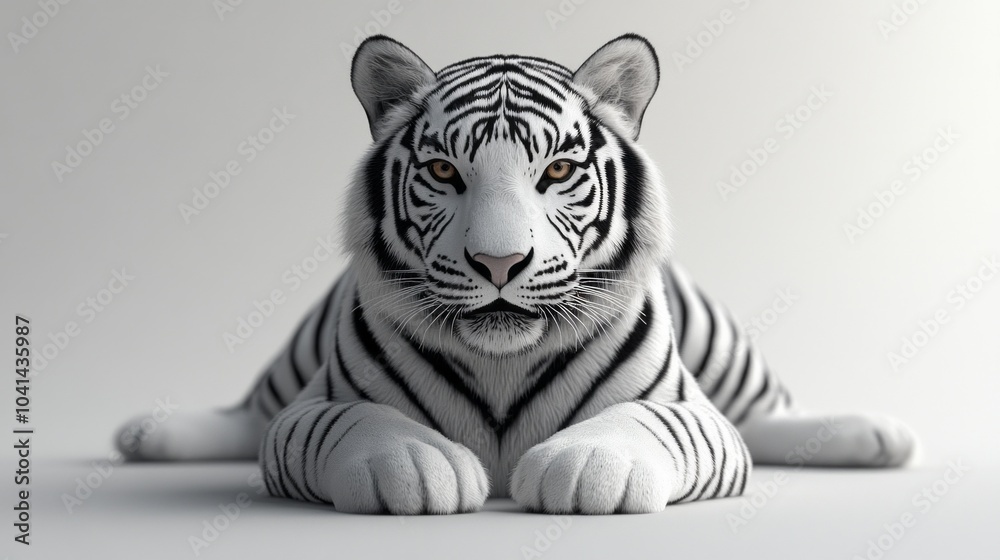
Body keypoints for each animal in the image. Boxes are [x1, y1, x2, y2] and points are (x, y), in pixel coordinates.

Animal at [115, 34, 916, 515]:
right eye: (444, 171)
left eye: (557, 171)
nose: (498, 262)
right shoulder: (312, 412)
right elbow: (354, 420)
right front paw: (413, 463)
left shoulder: (694, 413)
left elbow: (645, 419)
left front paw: (587, 465)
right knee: (249, 412)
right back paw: (146, 434)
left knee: (768, 412)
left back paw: (879, 436)